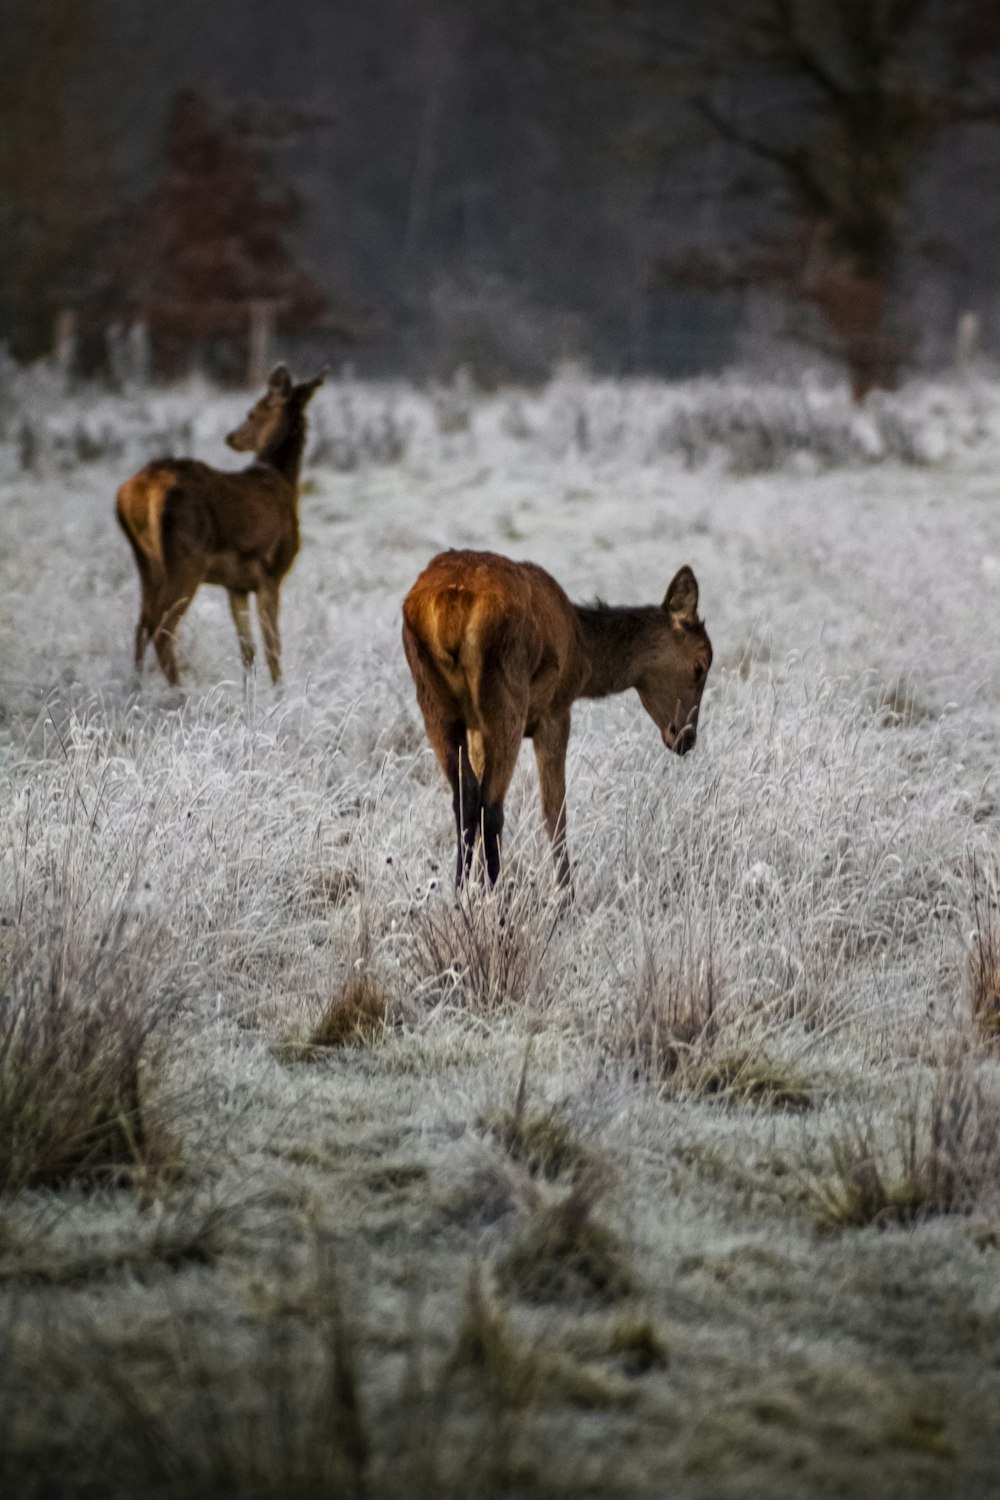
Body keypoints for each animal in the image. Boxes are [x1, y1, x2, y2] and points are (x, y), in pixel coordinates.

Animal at [115, 363, 325, 687]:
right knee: (161, 627)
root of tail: (138, 491)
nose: (233, 437)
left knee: (142, 624)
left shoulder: (236, 585)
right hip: (186, 558)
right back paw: (179, 693)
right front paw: (281, 694)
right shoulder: (271, 572)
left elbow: (248, 652)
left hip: (147, 562)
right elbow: (273, 650)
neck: (284, 483)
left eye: (253, 412)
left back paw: (135, 687)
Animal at [401, 552, 716, 888]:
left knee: (465, 796)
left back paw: (463, 890)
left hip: (433, 702)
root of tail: (453, 605)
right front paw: (565, 893)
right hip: (506, 694)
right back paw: (494, 893)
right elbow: (555, 810)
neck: (583, 656)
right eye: (700, 666)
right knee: (492, 804)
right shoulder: (555, 712)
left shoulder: (475, 728)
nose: (685, 737)